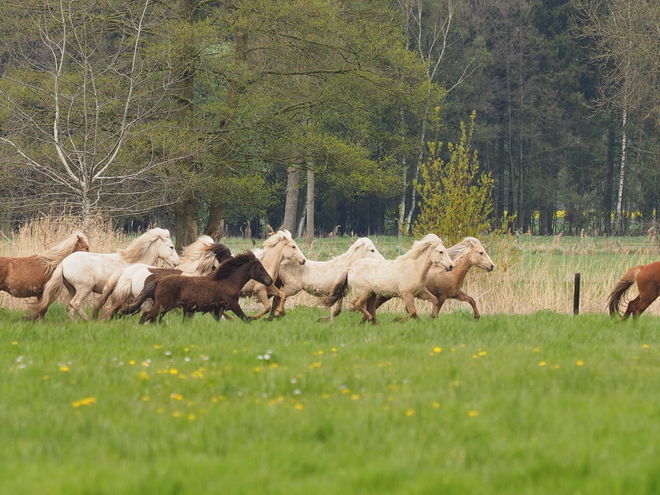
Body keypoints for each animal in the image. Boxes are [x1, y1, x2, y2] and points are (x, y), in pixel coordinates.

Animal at [28, 229, 180, 322]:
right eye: (171, 247)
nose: (177, 263)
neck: (134, 263)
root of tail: (63, 263)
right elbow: (131, 308)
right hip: (84, 288)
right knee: (75, 304)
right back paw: (89, 320)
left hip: (72, 289)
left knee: (69, 308)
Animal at [141, 252, 272, 326]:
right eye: (260, 267)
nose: (270, 281)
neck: (228, 282)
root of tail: (159, 282)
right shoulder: (233, 304)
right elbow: (245, 319)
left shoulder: (217, 309)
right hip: (163, 306)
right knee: (146, 315)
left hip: (164, 308)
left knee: (153, 319)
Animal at [322, 235, 456, 326]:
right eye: (440, 251)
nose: (451, 266)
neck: (415, 268)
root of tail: (350, 268)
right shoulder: (407, 294)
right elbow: (412, 312)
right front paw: (397, 320)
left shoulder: (420, 292)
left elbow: (434, 301)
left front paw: (431, 318)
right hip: (364, 292)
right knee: (357, 304)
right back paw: (371, 320)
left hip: (371, 294)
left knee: (369, 308)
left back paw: (372, 323)